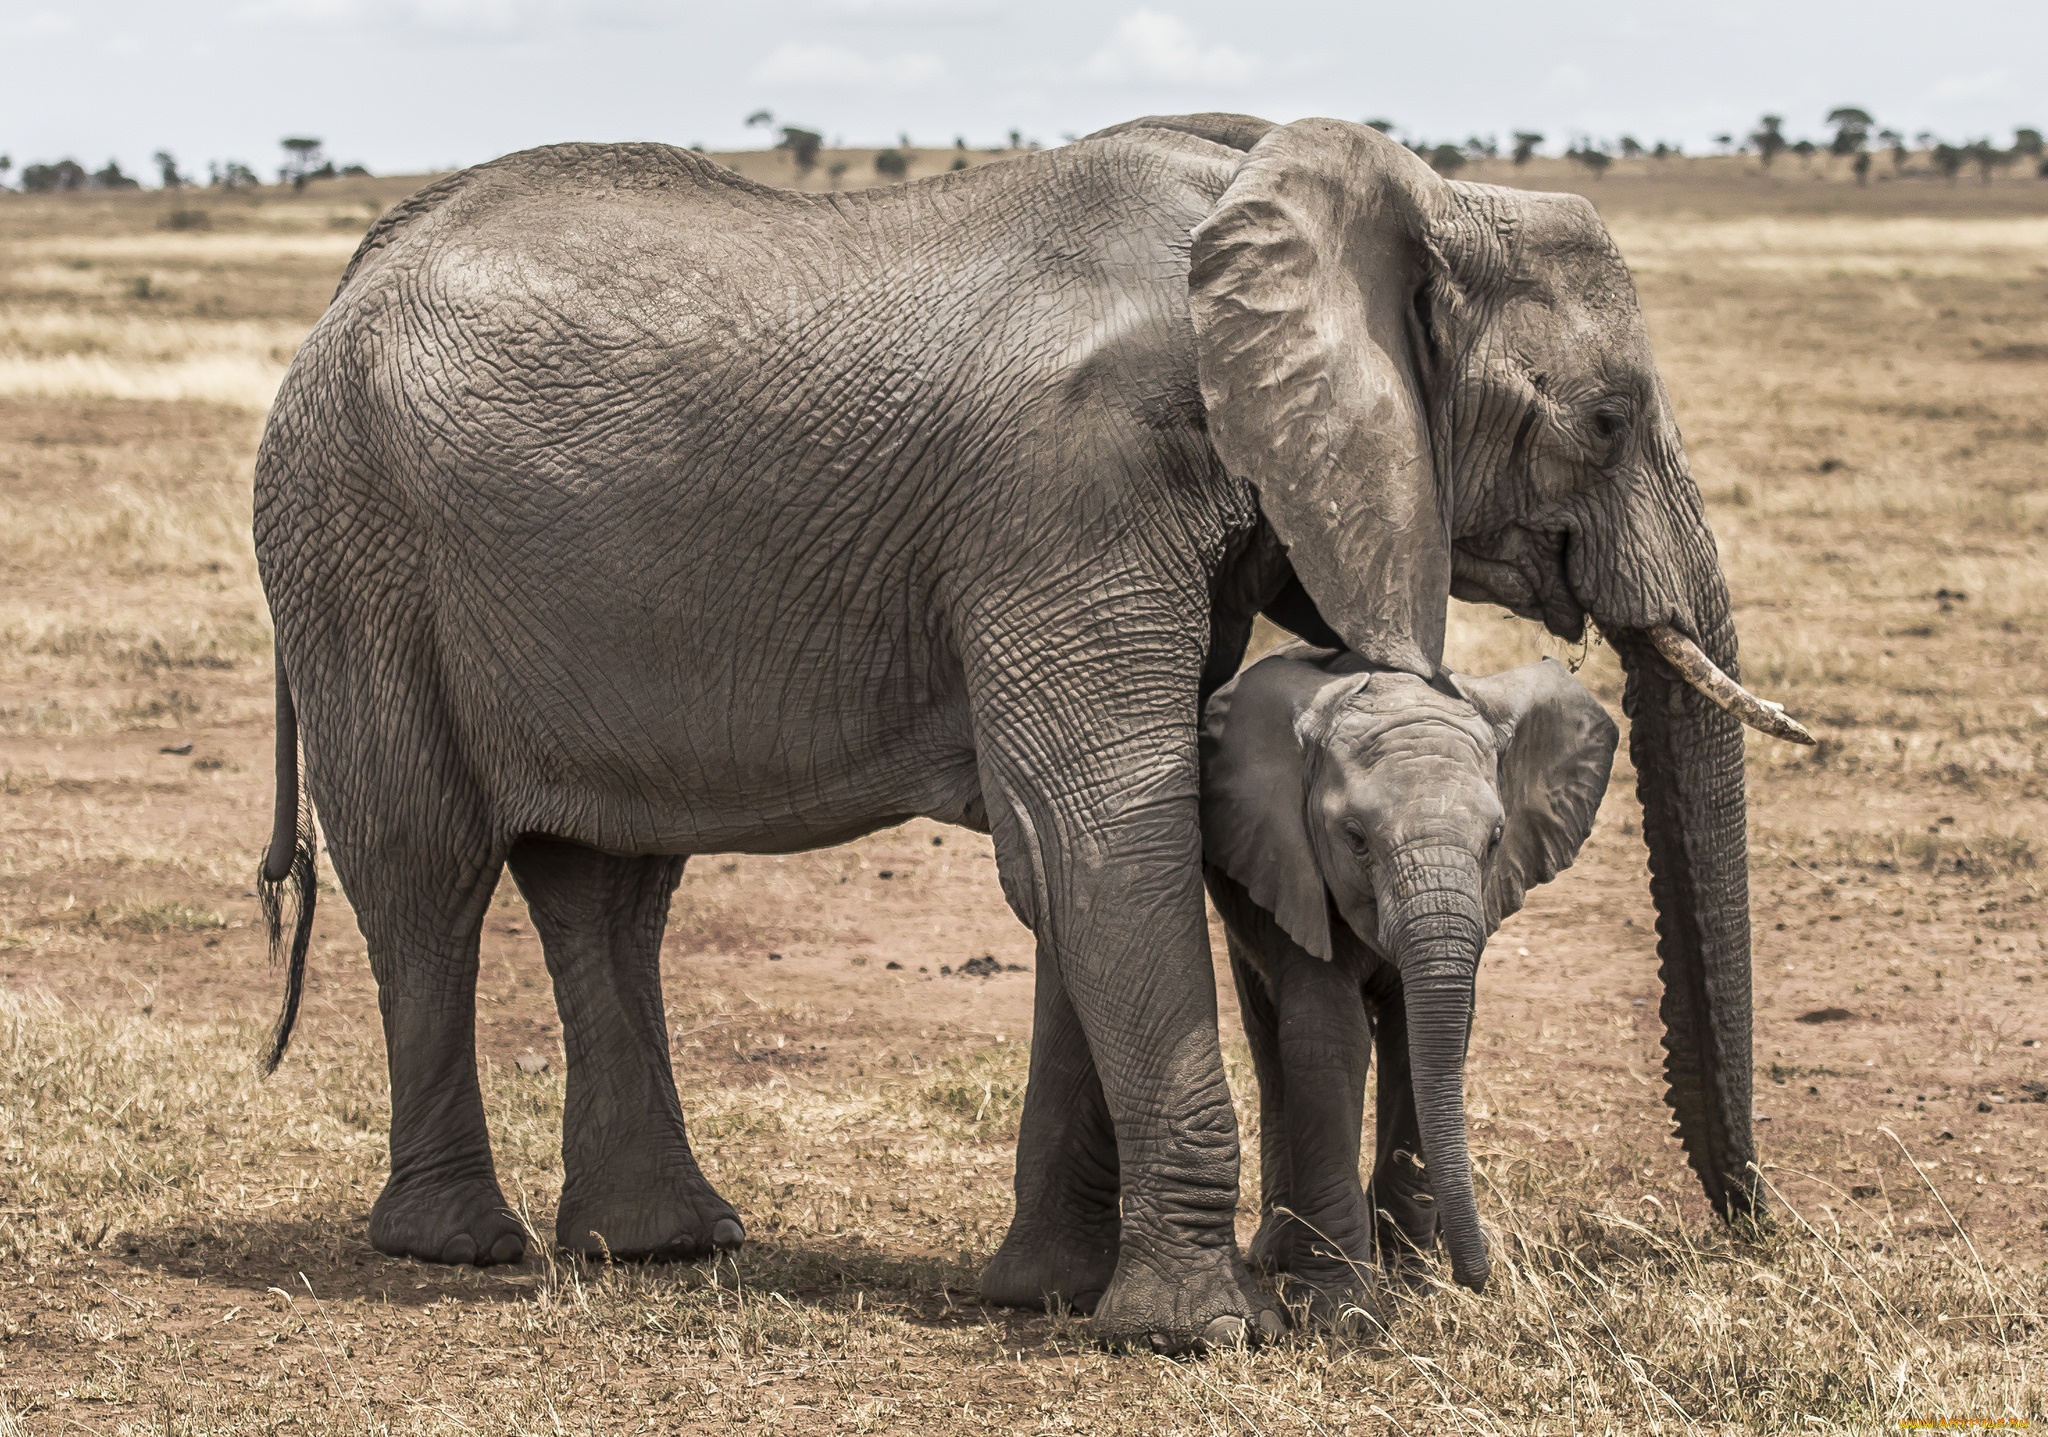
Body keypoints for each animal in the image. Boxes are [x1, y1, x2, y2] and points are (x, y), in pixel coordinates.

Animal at [1196, 642, 1613, 1318]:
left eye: (1496, 839)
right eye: (1355, 839)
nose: (1479, 1279)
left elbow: (1420, 1038)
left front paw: (1413, 1284)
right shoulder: (1294, 868)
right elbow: (1330, 1038)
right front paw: (1342, 1315)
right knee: (1268, 1038)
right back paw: (1277, 1253)